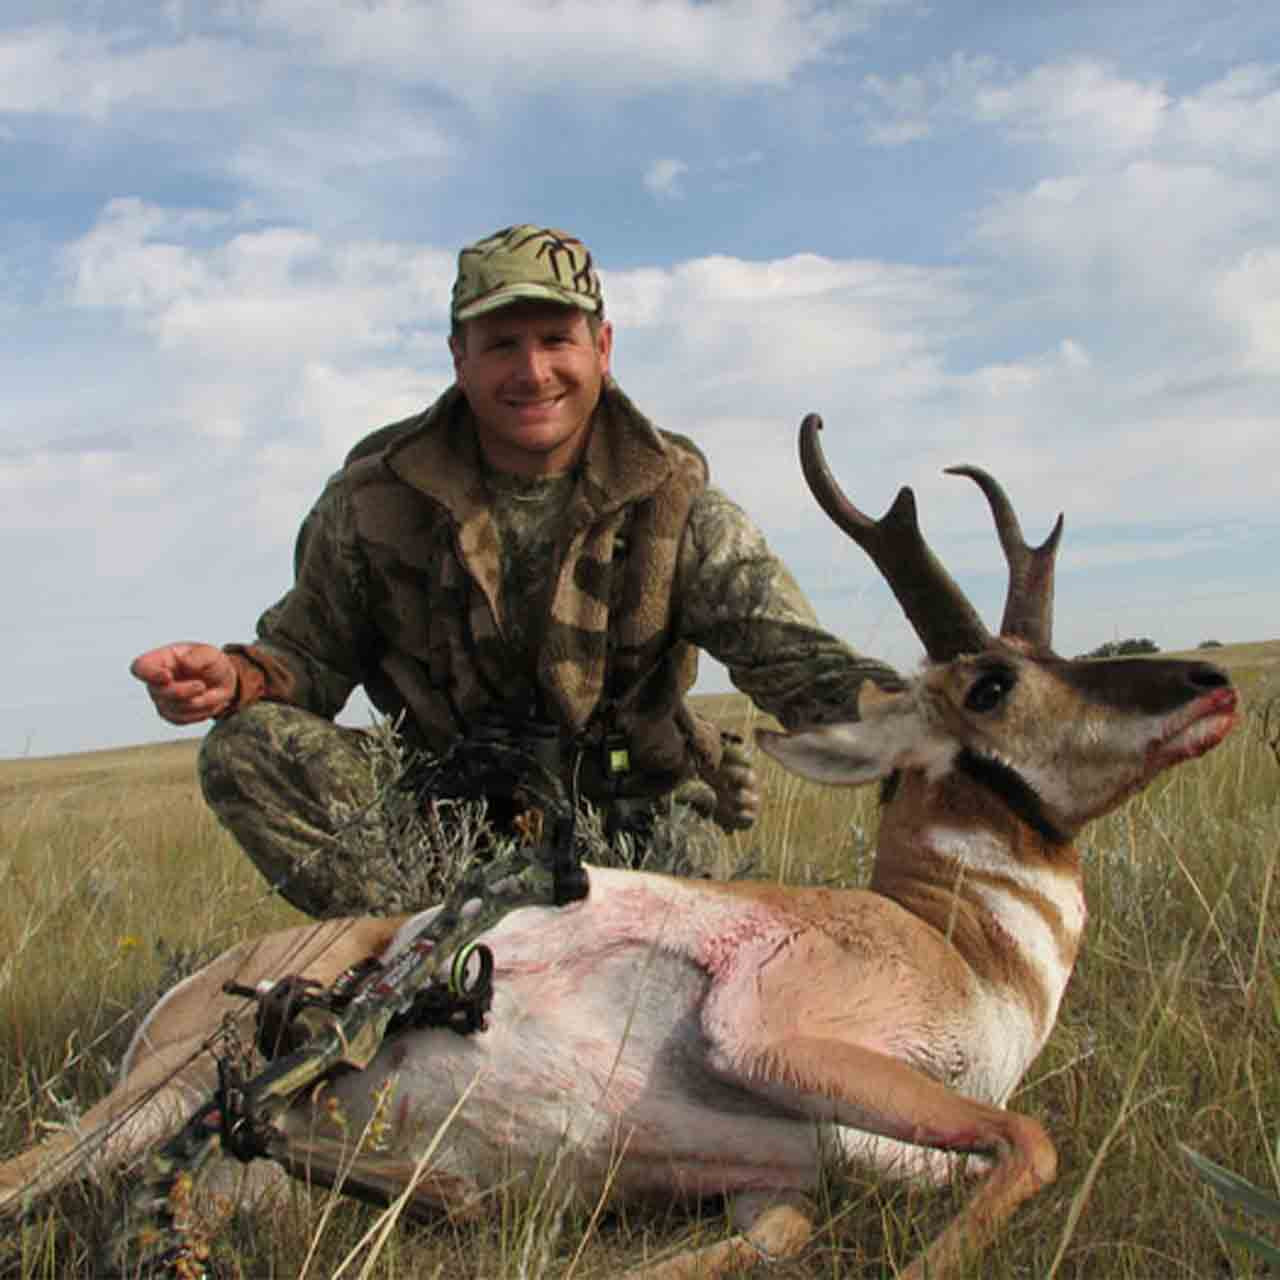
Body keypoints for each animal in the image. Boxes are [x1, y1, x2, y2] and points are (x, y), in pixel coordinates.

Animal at [0, 416, 1238, 1279]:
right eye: (991, 683)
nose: (1207, 680)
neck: (951, 938)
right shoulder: (770, 1035)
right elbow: (1029, 1140)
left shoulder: (786, 1170)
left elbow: (780, 1232)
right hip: (147, 1101)